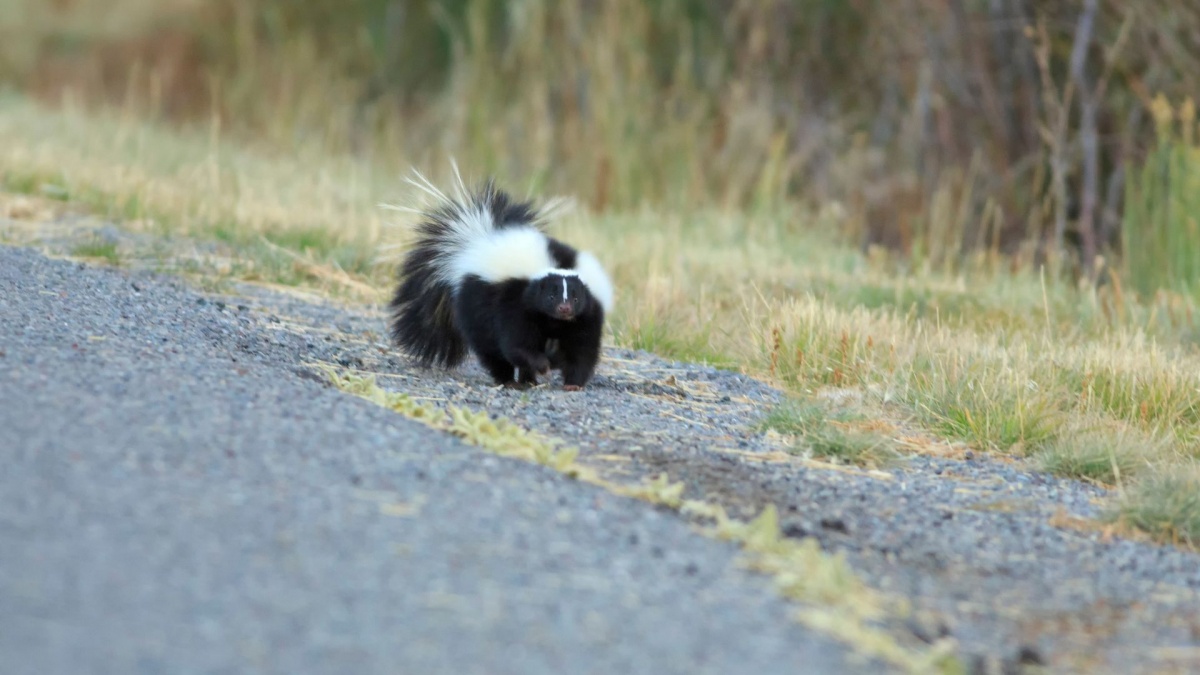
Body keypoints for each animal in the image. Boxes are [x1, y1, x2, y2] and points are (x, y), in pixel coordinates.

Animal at [386, 170, 614, 389]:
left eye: (576, 298)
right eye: (550, 296)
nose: (564, 309)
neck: (553, 321)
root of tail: (477, 243)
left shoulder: (587, 315)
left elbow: (582, 351)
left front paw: (572, 383)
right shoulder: (514, 302)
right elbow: (516, 344)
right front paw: (542, 365)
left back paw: (527, 380)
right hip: (476, 304)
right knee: (490, 349)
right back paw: (509, 379)